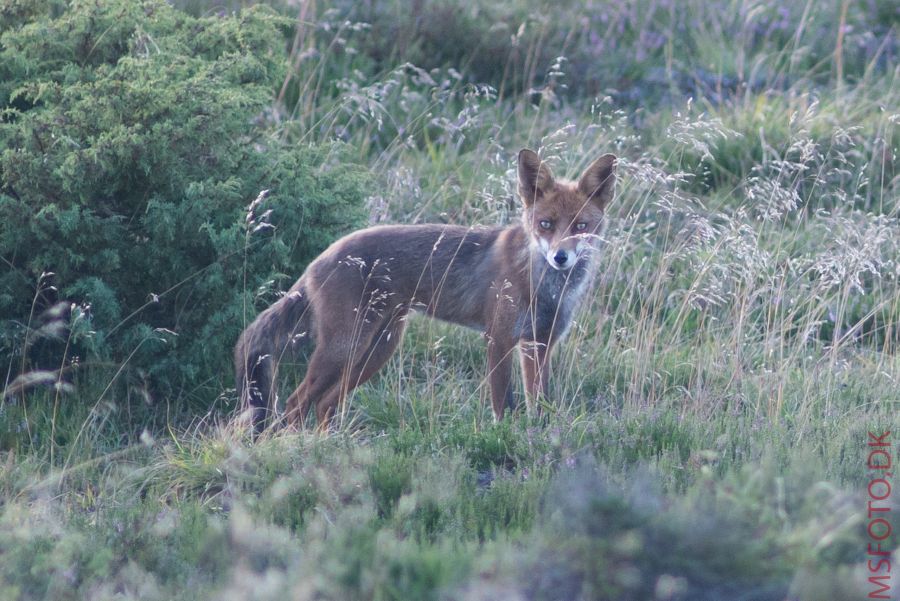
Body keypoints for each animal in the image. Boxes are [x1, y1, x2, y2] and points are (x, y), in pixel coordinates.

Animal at [232, 148, 616, 428]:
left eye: (581, 226)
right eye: (546, 224)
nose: (560, 257)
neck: (541, 286)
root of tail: (321, 257)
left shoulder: (540, 345)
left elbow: (542, 403)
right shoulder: (499, 339)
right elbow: (503, 406)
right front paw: (505, 437)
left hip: (376, 350)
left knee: (325, 404)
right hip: (343, 349)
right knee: (294, 404)